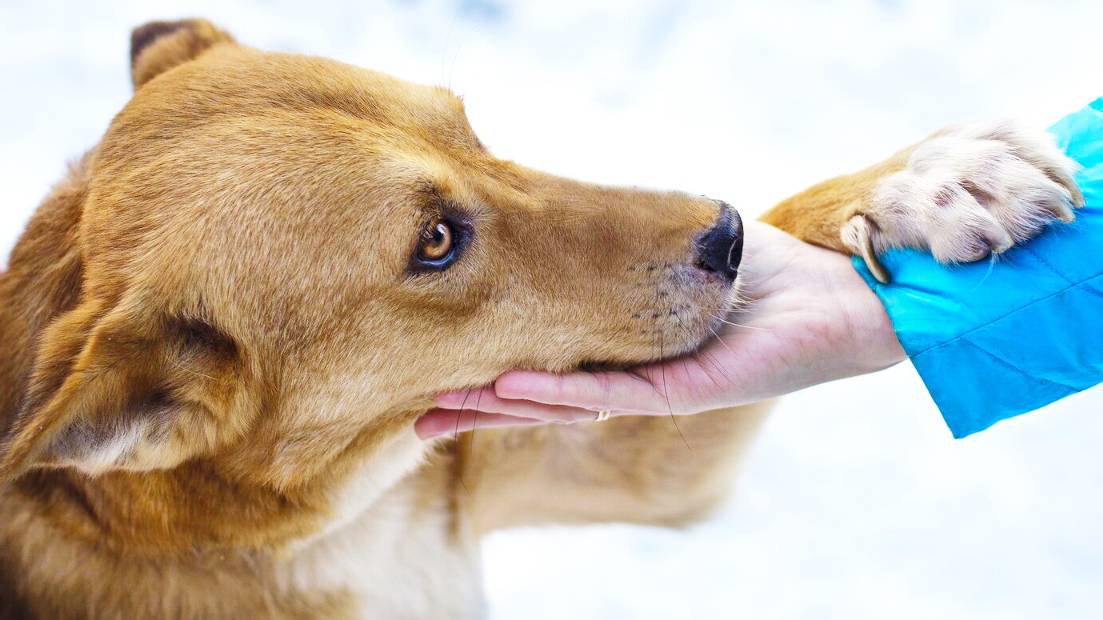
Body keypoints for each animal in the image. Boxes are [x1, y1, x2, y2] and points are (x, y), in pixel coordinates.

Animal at [0, 19, 1085, 617]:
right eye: (435, 242)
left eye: (470, 129)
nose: (724, 235)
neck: (335, 524)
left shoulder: (624, 471)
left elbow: (800, 202)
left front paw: (925, 183)